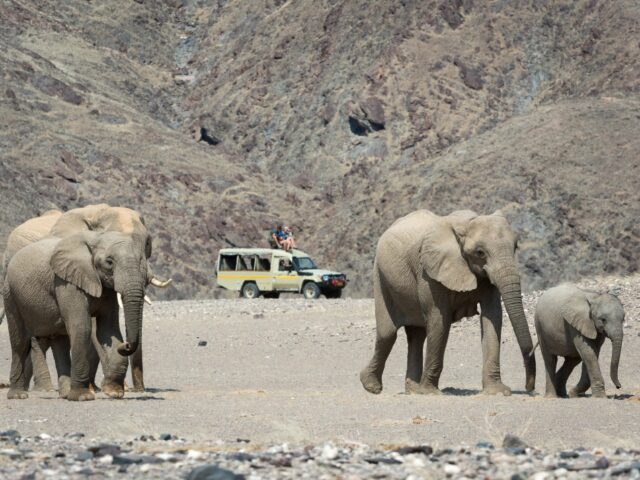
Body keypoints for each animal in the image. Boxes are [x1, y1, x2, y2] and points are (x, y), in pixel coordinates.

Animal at [0, 204, 170, 392]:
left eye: (147, 243)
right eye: (109, 260)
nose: (139, 390)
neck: (99, 213)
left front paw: (101, 387)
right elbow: (91, 328)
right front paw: (107, 388)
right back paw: (38, 389)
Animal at [360, 209, 536, 394]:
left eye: (515, 247)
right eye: (480, 252)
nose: (529, 387)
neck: (466, 224)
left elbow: (492, 316)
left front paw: (497, 391)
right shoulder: (429, 272)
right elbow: (439, 319)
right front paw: (430, 393)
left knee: (416, 335)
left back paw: (413, 390)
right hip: (380, 276)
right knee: (388, 334)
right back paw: (372, 386)